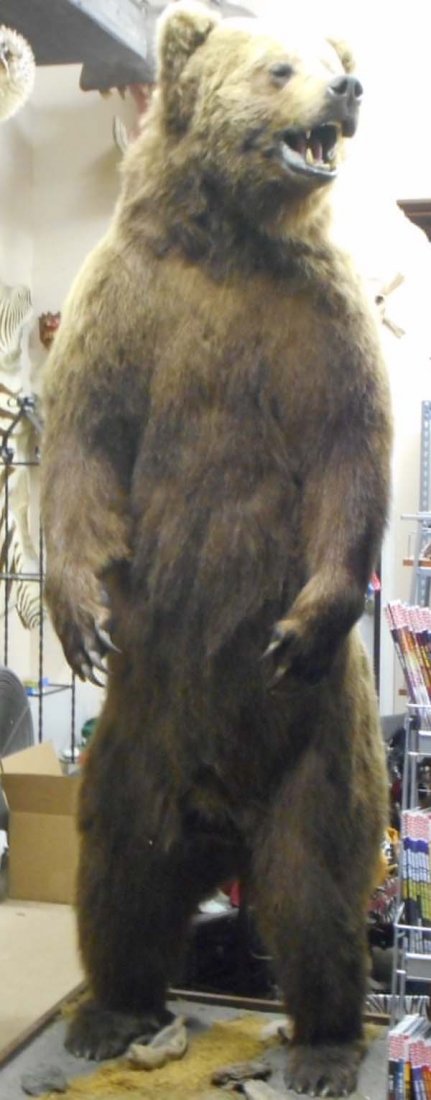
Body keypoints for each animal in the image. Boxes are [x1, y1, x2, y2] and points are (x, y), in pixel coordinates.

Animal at [40, 3, 392, 1095]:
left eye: (328, 57)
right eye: (280, 66)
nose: (348, 89)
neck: (234, 240)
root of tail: (219, 822)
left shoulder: (319, 318)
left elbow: (349, 453)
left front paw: (298, 624)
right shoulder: (126, 306)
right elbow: (83, 437)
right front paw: (79, 617)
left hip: (314, 753)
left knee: (315, 894)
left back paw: (321, 1042)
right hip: (132, 744)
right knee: (117, 874)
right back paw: (112, 1015)